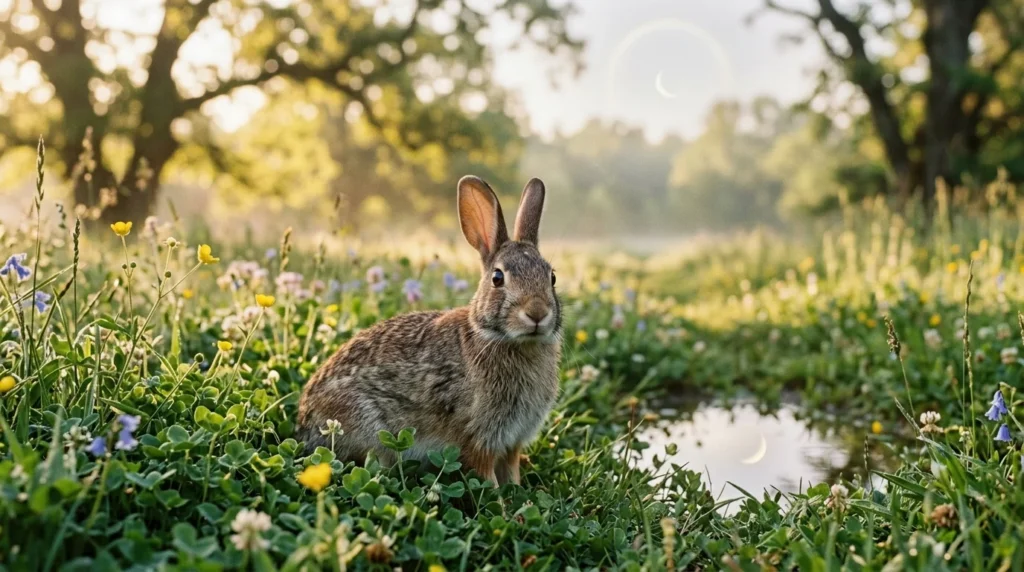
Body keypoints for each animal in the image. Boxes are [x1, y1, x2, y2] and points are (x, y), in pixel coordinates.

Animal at [297, 175, 561, 486]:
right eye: (498, 278)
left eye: (552, 277)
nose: (537, 313)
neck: (500, 338)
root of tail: (304, 421)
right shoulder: (478, 437)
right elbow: (486, 475)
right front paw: (500, 498)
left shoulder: (511, 442)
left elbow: (511, 471)